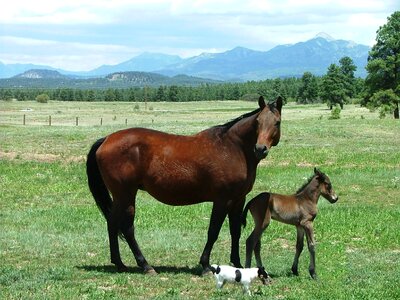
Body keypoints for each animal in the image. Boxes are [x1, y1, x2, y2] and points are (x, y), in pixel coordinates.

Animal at [86, 96, 282, 274]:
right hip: (126, 194)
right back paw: (145, 265)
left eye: (277, 122)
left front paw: (238, 264)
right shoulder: (222, 200)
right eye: (258, 122)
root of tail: (106, 139)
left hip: (121, 196)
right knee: (127, 227)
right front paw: (205, 265)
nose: (260, 149)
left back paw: (119, 263)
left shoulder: (238, 200)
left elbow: (235, 231)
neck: (233, 148)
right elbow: (213, 231)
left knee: (112, 222)